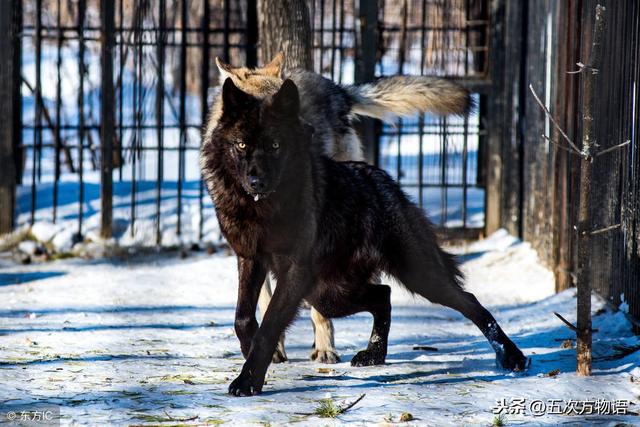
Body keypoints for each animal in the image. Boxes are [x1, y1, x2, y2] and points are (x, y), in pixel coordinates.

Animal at [202, 77, 528, 398]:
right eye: (242, 144)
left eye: (275, 145)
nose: (257, 181)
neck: (261, 209)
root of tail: (386, 182)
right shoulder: (250, 259)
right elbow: (243, 319)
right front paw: (251, 356)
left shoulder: (293, 270)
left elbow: (268, 326)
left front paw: (248, 381)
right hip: (328, 295)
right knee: (383, 294)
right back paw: (374, 354)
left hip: (413, 277)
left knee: (467, 300)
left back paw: (511, 356)